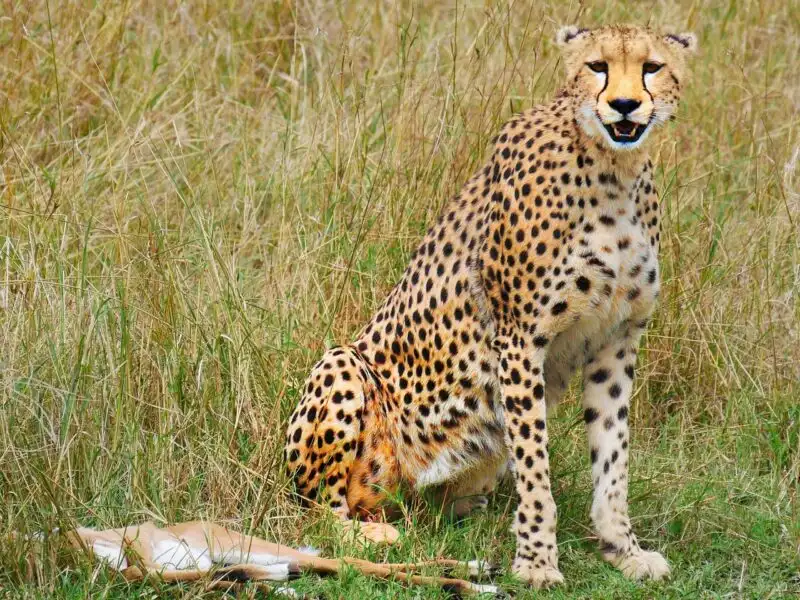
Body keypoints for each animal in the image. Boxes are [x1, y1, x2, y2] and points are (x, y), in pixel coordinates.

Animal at [284, 24, 697, 588]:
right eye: (597, 66)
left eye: (652, 67)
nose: (625, 105)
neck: (614, 167)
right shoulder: (520, 338)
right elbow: (537, 468)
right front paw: (538, 561)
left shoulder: (617, 339)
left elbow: (613, 457)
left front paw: (623, 549)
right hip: (342, 364)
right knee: (320, 510)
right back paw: (368, 534)